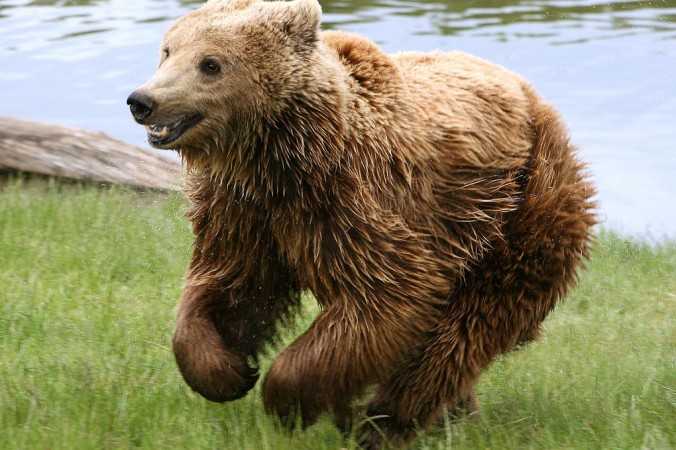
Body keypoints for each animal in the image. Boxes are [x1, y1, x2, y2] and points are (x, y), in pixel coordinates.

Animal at [127, 0, 597, 447]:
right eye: (168, 51)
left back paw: (383, 422)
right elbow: (233, 285)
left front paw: (285, 401)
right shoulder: (243, 212)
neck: (278, 158)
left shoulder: (356, 202)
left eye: (211, 63)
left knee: (466, 327)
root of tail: (534, 97)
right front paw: (228, 371)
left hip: (518, 208)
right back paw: (450, 416)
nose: (142, 100)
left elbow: (388, 297)